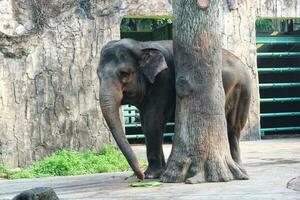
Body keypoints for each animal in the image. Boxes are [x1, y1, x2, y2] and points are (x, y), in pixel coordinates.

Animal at [98, 38, 251, 180]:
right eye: (98, 74)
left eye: (124, 73)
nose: (139, 176)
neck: (142, 45)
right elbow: (146, 124)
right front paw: (160, 172)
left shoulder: (162, 81)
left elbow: (153, 121)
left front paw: (151, 175)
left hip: (242, 90)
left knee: (233, 128)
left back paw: (239, 168)